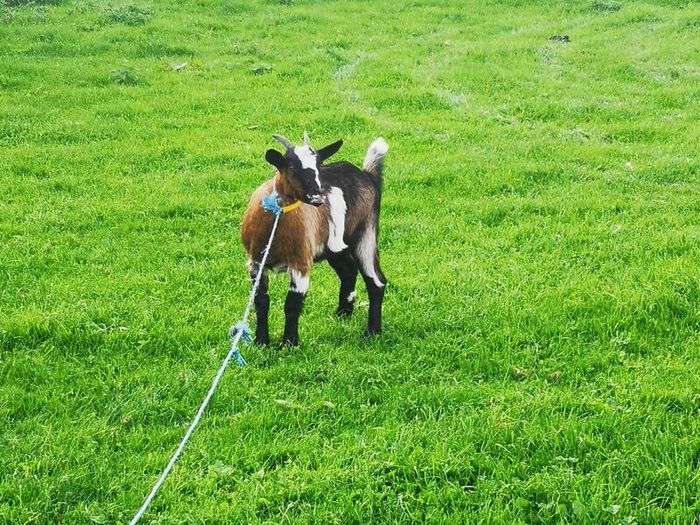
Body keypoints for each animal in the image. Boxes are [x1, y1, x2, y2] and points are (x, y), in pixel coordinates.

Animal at [241, 133, 389, 346]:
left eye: (319, 166)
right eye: (291, 167)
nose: (318, 196)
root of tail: (367, 175)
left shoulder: (300, 262)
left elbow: (292, 304)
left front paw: (289, 344)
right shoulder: (256, 262)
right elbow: (260, 301)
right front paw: (261, 342)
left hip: (365, 234)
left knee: (376, 280)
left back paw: (372, 332)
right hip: (334, 247)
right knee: (349, 271)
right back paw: (342, 314)